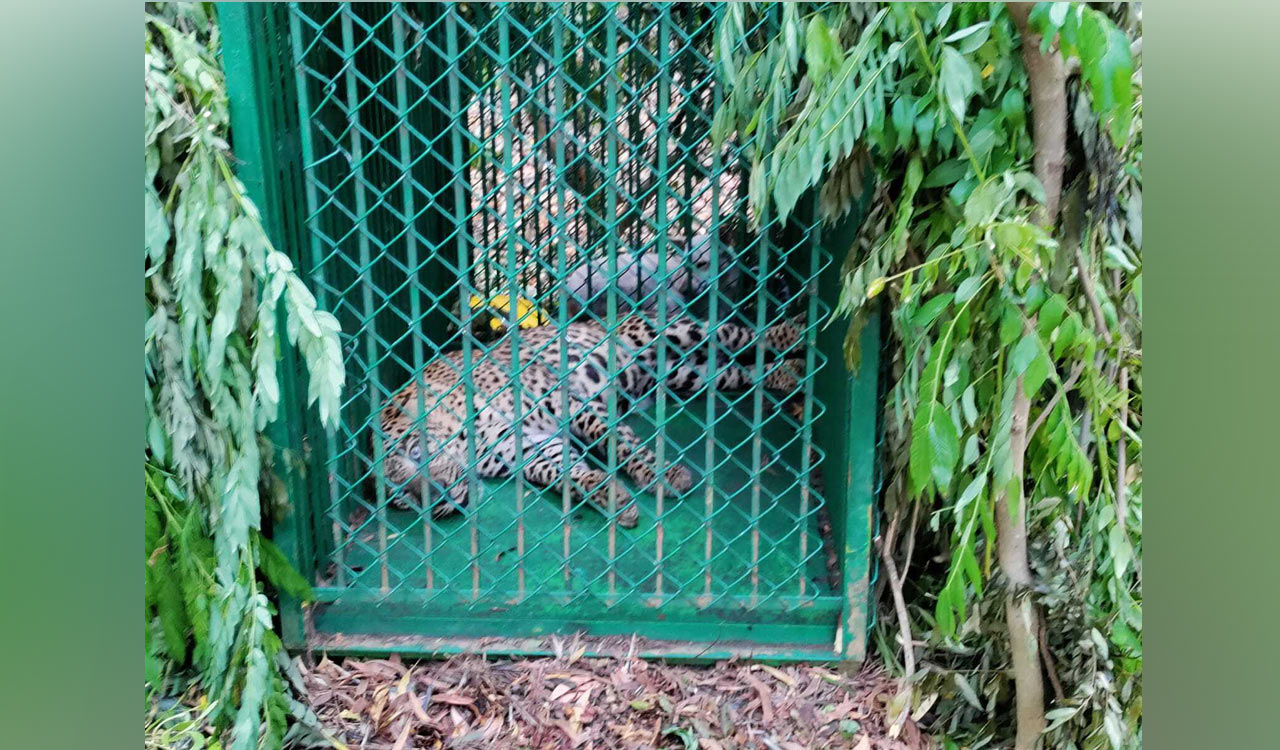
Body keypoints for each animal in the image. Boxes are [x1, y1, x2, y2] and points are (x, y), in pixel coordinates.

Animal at [378, 314, 807, 529]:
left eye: (417, 452)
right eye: (402, 499)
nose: (436, 498)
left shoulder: (569, 404)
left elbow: (618, 442)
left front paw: (662, 475)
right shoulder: (532, 448)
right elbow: (563, 473)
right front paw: (610, 496)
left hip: (671, 332)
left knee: (743, 334)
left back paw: (796, 332)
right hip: (688, 375)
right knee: (742, 370)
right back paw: (790, 374)